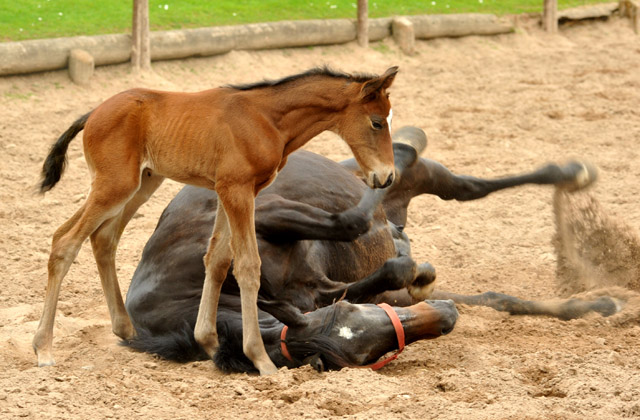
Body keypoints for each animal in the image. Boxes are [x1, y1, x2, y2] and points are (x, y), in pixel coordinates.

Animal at [35, 65, 400, 374]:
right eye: (377, 122)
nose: (386, 177)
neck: (266, 119)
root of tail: (93, 113)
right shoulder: (238, 190)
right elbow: (248, 265)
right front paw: (260, 359)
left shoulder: (231, 190)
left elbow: (218, 260)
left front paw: (208, 342)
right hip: (115, 185)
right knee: (65, 240)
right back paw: (44, 349)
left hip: (142, 183)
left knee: (103, 238)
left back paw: (125, 330)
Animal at [122, 126, 616, 372]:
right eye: (363, 355)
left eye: (355, 317)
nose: (444, 319)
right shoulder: (328, 291)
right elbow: (390, 269)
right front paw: (415, 268)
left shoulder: (269, 214)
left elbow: (353, 222)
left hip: (420, 176)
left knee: (459, 185)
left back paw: (571, 174)